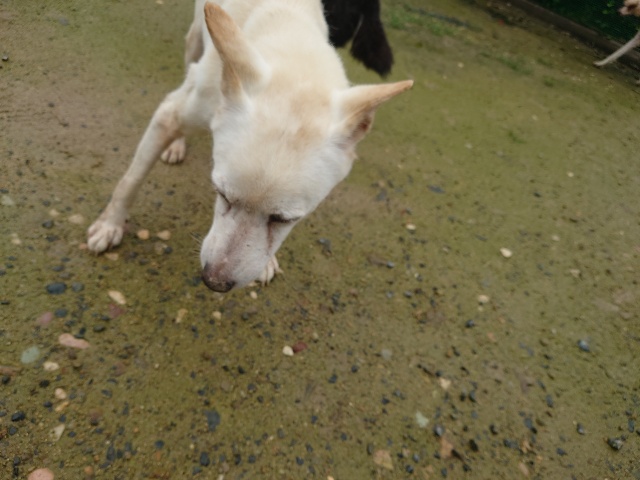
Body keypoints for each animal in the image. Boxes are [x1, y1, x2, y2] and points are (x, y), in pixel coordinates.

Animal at [87, 0, 412, 292]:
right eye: (222, 194)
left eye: (284, 219)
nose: (215, 283)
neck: (293, 43)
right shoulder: (169, 115)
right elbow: (130, 180)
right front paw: (109, 226)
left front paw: (267, 263)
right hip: (194, 44)